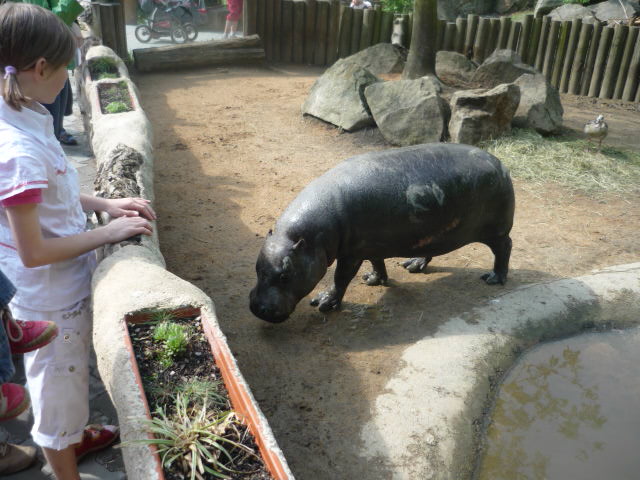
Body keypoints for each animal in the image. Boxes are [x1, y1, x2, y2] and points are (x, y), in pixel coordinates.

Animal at [249, 143, 515, 323]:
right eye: (257, 268)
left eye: (285, 276)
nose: (257, 308)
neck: (313, 237)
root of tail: (499, 163)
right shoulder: (370, 244)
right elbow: (377, 262)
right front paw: (373, 280)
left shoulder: (351, 254)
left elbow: (341, 278)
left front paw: (324, 302)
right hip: (434, 231)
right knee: (430, 249)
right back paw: (413, 265)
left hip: (496, 230)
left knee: (504, 247)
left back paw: (494, 278)